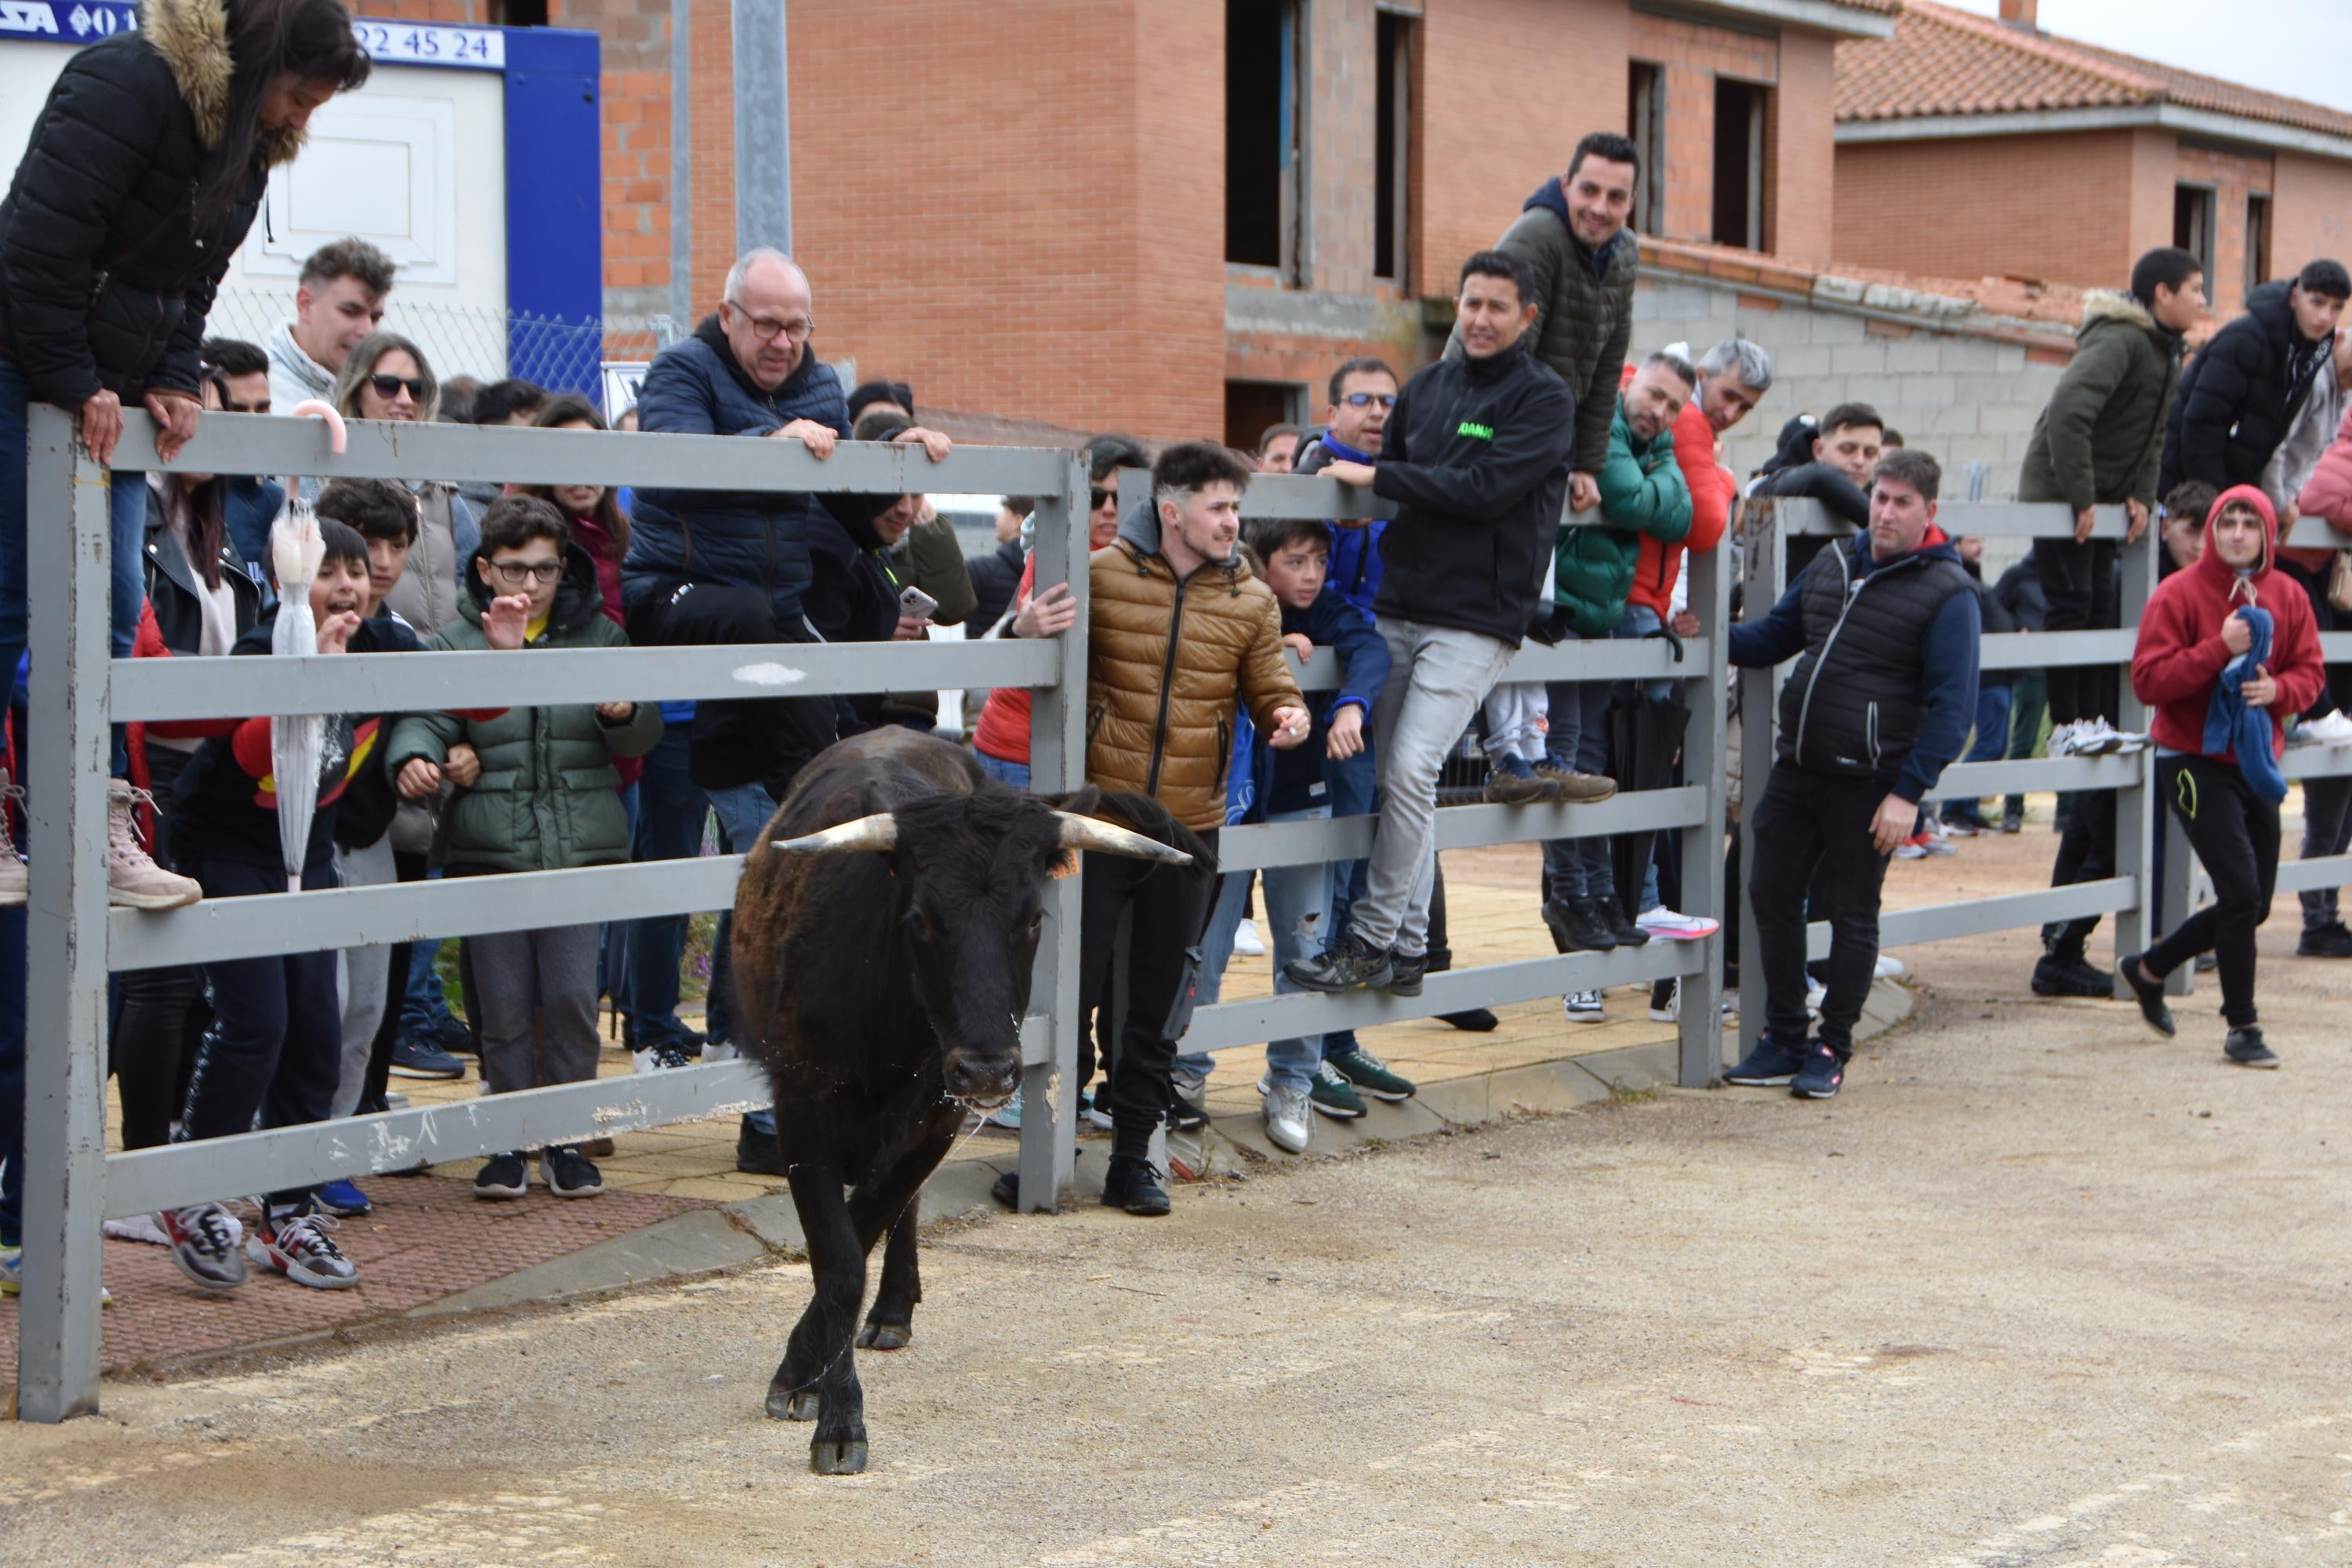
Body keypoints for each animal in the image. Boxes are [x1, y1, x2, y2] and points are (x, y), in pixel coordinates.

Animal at [734, 728, 1204, 1476]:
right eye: (922, 920)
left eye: (1034, 918)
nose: (987, 1067)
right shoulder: (800, 1112)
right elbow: (839, 1259)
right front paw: (832, 1412)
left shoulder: (938, 1120)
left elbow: (864, 1229)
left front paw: (811, 1373)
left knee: (900, 1209)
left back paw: (894, 1310)